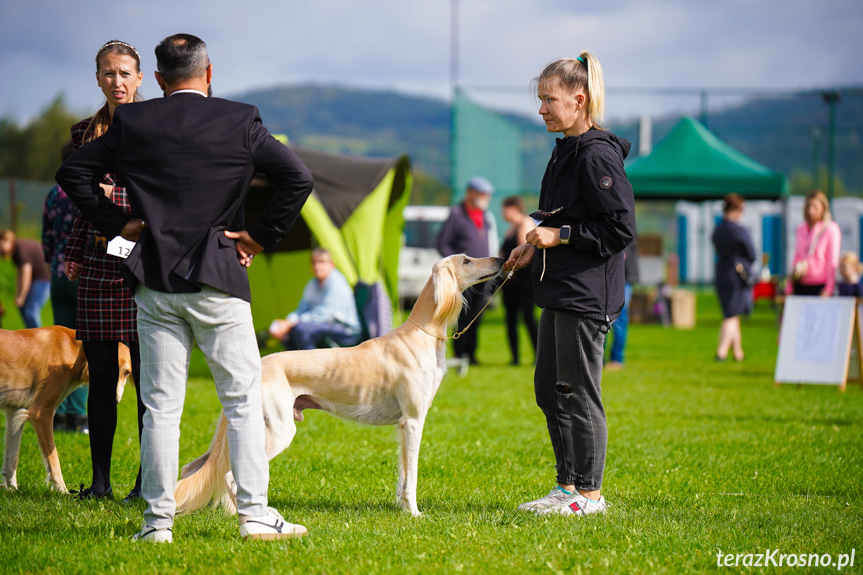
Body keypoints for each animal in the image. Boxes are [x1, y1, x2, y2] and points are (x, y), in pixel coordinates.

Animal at [0, 326, 132, 492]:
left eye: (126, 372)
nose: (114, 401)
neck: (72, 348)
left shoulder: (14, 410)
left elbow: (11, 462)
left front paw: (12, 491)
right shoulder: (41, 412)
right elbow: (53, 459)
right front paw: (62, 490)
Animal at [174, 255, 506, 516]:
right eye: (466, 260)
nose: (500, 260)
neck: (420, 334)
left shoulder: (403, 425)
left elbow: (402, 475)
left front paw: (402, 508)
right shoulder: (412, 421)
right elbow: (411, 477)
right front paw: (414, 513)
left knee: (192, 467)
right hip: (278, 430)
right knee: (231, 476)